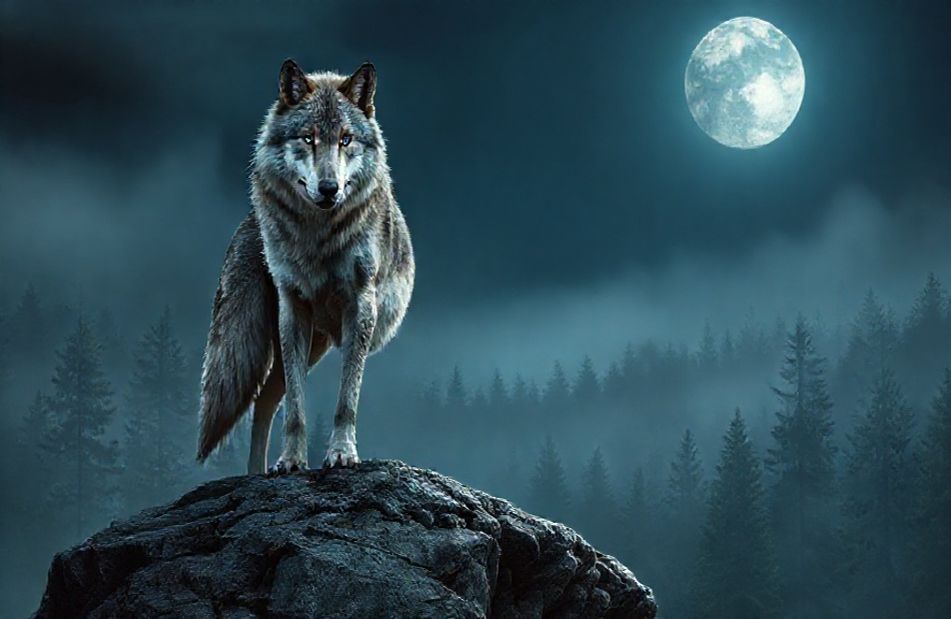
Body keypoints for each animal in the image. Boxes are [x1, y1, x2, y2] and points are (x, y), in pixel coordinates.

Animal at [196, 59, 414, 474]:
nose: (329, 188)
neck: (318, 236)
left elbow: (346, 400)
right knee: (267, 398)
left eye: (345, 139)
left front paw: (342, 454)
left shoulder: (361, 306)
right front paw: (292, 461)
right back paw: (258, 473)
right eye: (308, 138)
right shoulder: (293, 307)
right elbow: (297, 408)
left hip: (320, 343)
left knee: (266, 397)